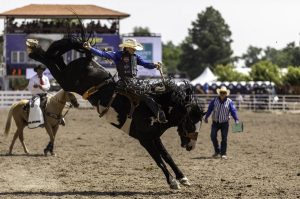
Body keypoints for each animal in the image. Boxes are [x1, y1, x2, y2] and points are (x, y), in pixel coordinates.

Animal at [27, 35, 206, 189]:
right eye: (191, 123)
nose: (191, 146)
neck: (158, 107)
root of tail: (89, 59)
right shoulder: (145, 139)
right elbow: (159, 160)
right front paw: (173, 182)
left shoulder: (155, 137)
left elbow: (167, 156)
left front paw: (183, 178)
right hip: (66, 80)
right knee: (49, 60)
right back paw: (34, 49)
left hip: (66, 75)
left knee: (55, 58)